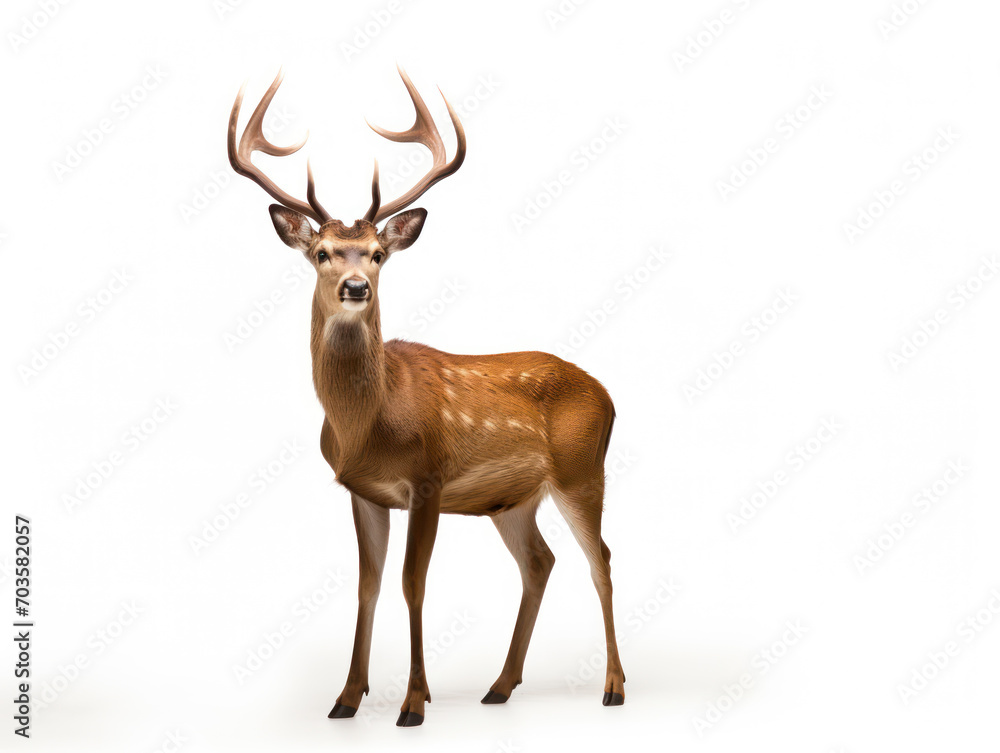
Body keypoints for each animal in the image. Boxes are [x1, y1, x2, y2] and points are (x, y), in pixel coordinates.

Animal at [227, 68, 625, 727]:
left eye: (378, 254)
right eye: (321, 253)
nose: (355, 286)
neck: (367, 425)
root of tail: (609, 393)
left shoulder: (429, 478)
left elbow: (414, 582)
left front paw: (414, 702)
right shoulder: (363, 490)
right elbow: (368, 583)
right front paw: (346, 697)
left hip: (581, 469)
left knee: (602, 559)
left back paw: (613, 686)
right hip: (514, 500)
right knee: (540, 562)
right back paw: (500, 685)